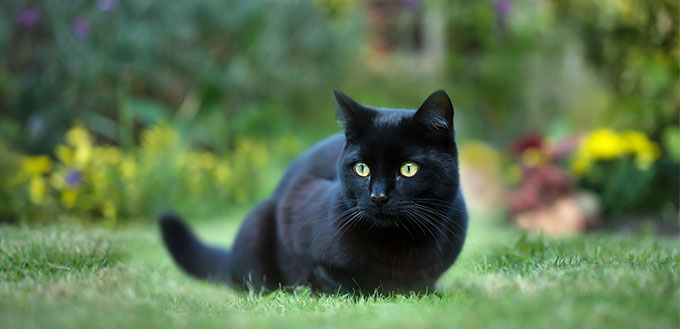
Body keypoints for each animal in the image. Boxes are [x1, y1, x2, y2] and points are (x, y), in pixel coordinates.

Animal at [159, 88, 468, 294]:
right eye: (361, 168)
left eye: (408, 169)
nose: (378, 196)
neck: (397, 243)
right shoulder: (299, 212)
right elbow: (345, 283)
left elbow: (422, 285)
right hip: (259, 217)